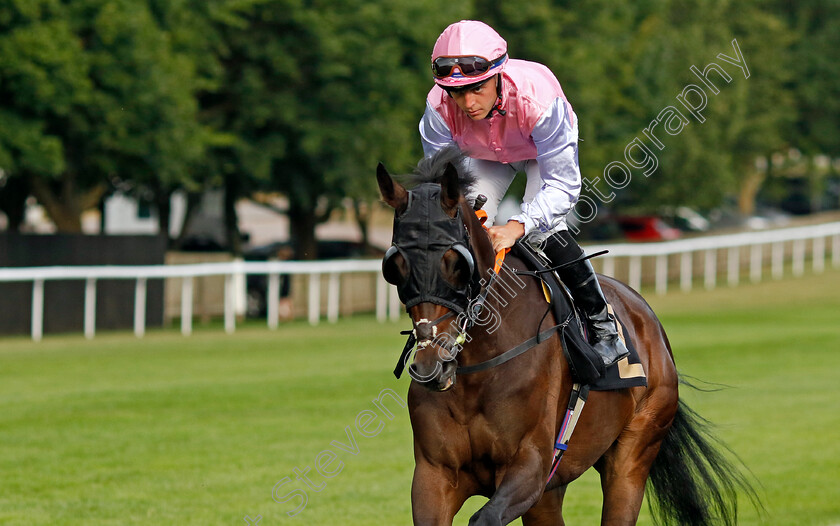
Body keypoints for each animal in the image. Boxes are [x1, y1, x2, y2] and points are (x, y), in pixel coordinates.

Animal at [378, 148, 756, 526]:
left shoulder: (531, 465)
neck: (479, 368)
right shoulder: (434, 474)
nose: (430, 366)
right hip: (551, 492)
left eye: (457, 262)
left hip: (634, 454)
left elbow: (484, 518)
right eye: (395, 266)